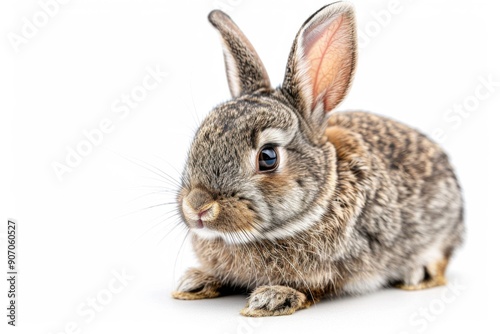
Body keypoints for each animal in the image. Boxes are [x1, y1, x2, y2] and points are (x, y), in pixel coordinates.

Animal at [171, 1, 464, 318]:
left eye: (268, 157)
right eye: (198, 139)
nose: (198, 206)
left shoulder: (337, 267)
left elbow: (315, 288)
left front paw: (272, 298)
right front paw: (195, 282)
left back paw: (418, 274)